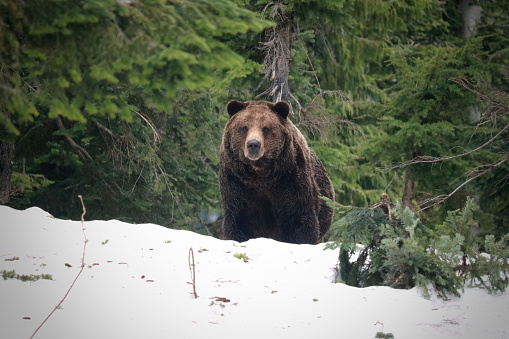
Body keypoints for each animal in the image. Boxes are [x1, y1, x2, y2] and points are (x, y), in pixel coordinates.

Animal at [218, 99, 334, 246]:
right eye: (244, 127)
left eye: (265, 128)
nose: (253, 144)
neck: (260, 176)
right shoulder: (237, 183)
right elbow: (238, 222)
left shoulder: (290, 181)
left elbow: (300, 222)